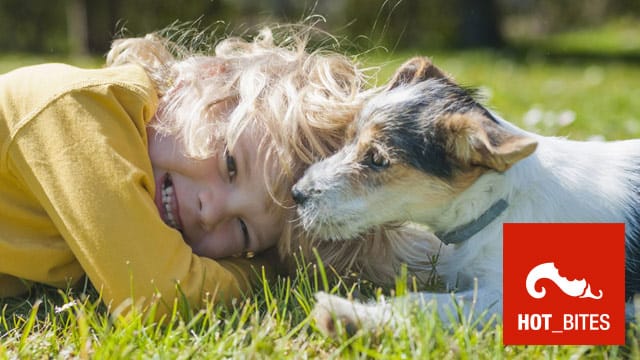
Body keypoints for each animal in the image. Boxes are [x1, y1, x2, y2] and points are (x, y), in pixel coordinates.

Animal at [292, 57, 636, 334]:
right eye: (348, 139)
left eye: (377, 159)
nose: (296, 194)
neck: (500, 203)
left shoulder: (512, 298)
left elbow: (422, 303)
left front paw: (349, 315)